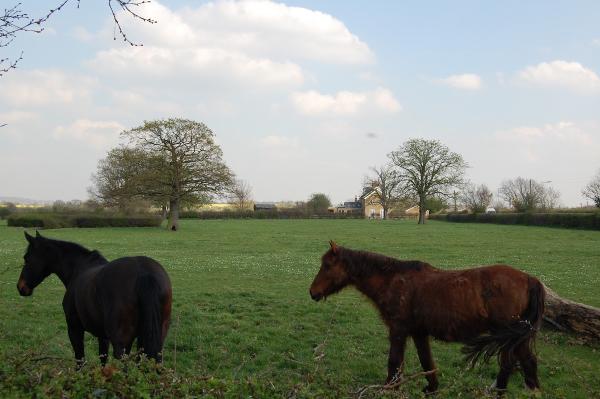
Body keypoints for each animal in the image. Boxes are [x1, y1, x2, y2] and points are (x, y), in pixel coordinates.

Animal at [17, 233, 172, 368]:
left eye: (26, 258)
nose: (21, 287)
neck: (78, 269)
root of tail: (143, 272)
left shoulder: (74, 328)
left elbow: (80, 360)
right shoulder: (102, 336)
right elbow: (103, 360)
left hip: (122, 344)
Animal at [310, 242, 544, 396]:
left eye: (327, 265)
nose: (312, 292)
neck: (394, 280)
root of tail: (528, 278)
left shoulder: (398, 330)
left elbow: (394, 362)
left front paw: (389, 389)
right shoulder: (418, 332)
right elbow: (427, 361)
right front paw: (431, 388)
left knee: (517, 362)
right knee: (521, 362)